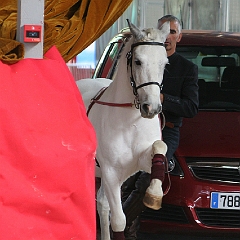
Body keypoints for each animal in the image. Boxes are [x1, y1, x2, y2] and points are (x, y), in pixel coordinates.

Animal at [76, 21, 169, 240]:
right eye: (138, 61)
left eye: (164, 63)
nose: (152, 108)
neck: (130, 122)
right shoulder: (111, 172)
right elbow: (119, 221)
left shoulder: (137, 162)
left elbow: (160, 146)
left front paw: (154, 194)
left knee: (102, 204)